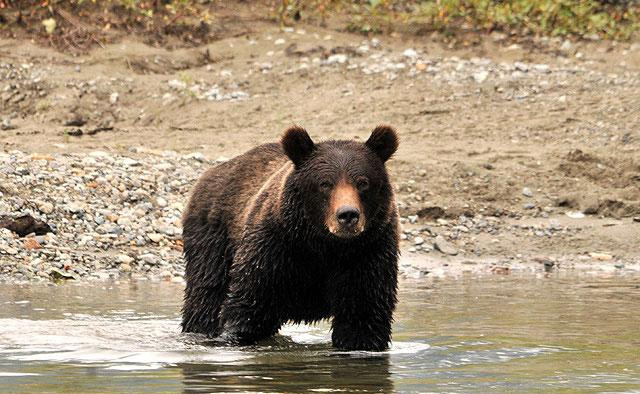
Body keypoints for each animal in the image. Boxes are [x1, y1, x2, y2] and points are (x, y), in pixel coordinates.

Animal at [181, 124, 400, 350]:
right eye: (325, 183)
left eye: (363, 182)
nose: (347, 215)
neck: (324, 244)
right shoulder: (274, 249)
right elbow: (249, 305)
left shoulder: (367, 254)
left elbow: (363, 318)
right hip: (213, 237)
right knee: (207, 295)